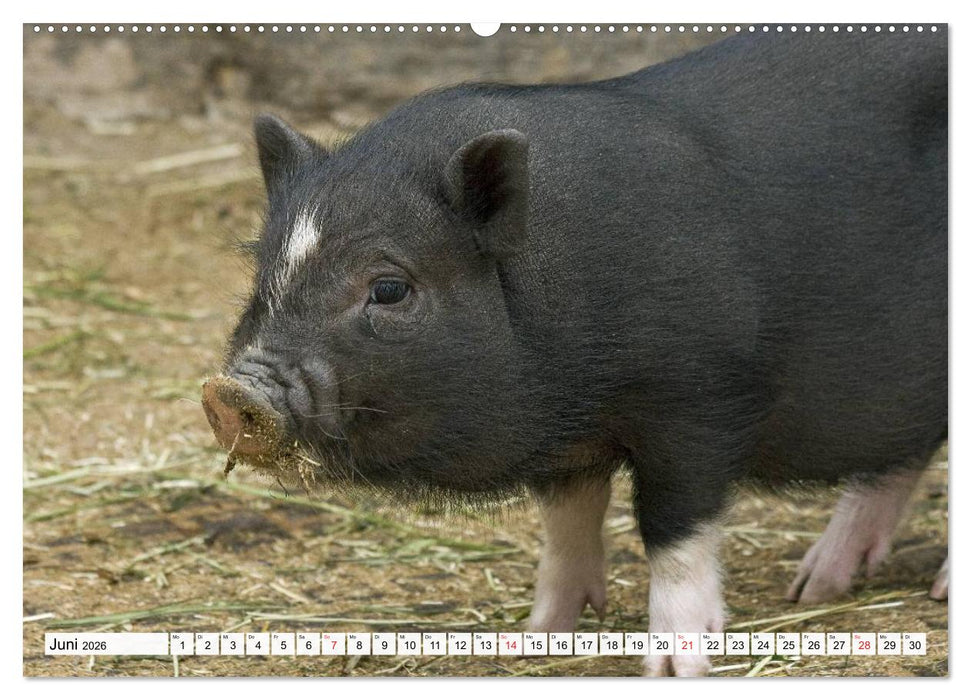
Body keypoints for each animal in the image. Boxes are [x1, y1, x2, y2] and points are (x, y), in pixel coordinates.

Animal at [202, 30, 947, 676]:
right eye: (264, 268)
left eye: (388, 287)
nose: (231, 392)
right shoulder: (565, 441)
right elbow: (564, 523)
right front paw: (536, 639)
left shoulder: (701, 401)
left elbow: (673, 531)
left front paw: (674, 667)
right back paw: (814, 588)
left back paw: (921, 591)